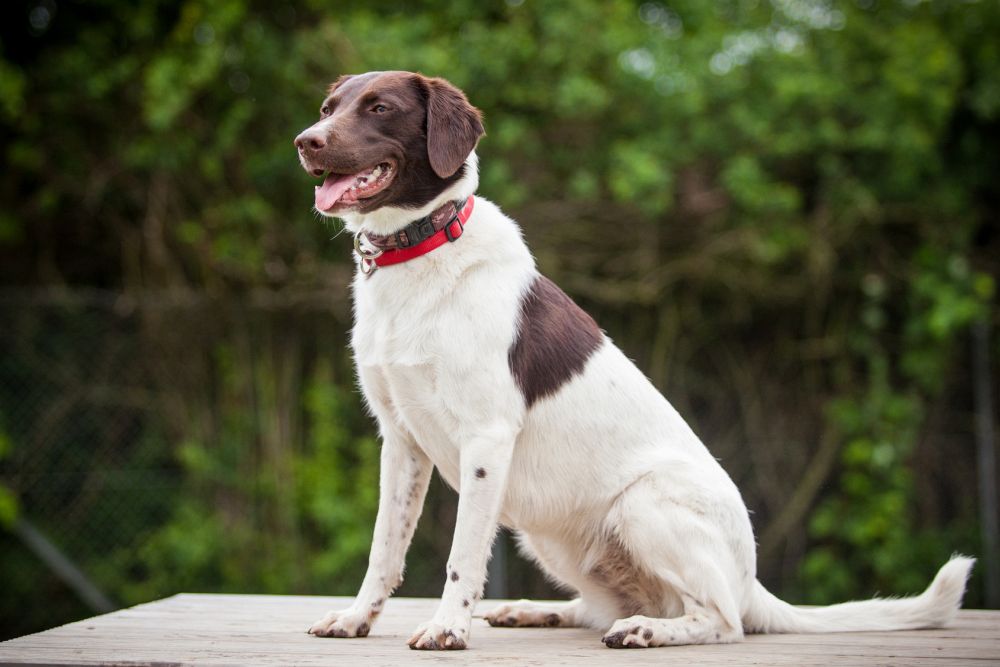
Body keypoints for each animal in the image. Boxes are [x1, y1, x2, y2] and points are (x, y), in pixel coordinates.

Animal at [292, 73, 972, 652]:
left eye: (380, 108)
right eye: (328, 108)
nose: (305, 141)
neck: (420, 252)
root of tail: (752, 580)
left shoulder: (485, 439)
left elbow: (462, 557)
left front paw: (446, 629)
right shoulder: (401, 441)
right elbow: (384, 548)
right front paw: (356, 619)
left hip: (642, 504)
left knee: (722, 621)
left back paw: (647, 631)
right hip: (552, 539)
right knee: (609, 606)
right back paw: (535, 611)